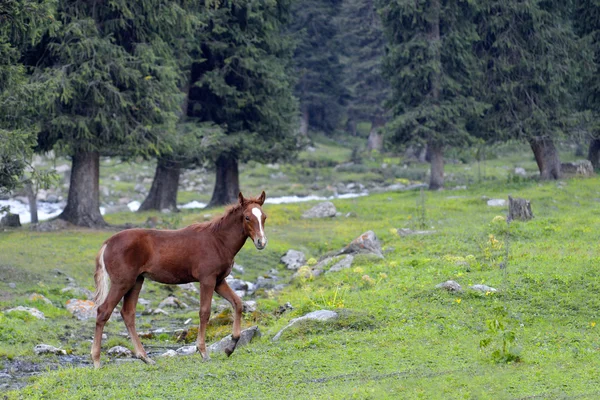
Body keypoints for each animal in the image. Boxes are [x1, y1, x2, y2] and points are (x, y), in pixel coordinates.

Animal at [89, 191, 268, 368]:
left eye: (264, 217)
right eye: (247, 217)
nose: (261, 242)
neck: (218, 240)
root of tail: (107, 243)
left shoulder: (219, 281)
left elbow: (238, 303)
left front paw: (230, 347)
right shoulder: (207, 279)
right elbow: (204, 312)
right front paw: (203, 352)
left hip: (136, 281)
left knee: (128, 313)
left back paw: (145, 357)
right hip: (122, 282)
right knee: (103, 311)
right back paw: (96, 361)